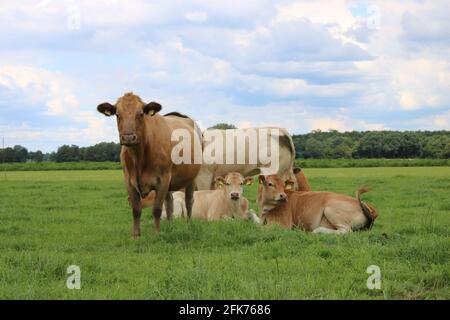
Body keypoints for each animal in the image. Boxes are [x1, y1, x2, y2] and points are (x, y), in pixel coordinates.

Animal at [98, 92, 200, 238]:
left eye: (141, 114)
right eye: (117, 114)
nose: (128, 137)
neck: (139, 157)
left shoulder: (163, 179)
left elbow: (156, 209)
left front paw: (156, 233)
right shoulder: (129, 181)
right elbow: (136, 209)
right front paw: (135, 234)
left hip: (192, 178)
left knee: (189, 201)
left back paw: (189, 226)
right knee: (169, 203)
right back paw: (169, 226)